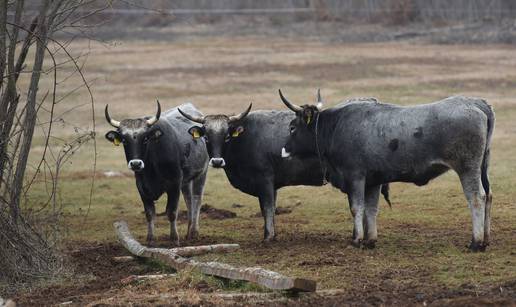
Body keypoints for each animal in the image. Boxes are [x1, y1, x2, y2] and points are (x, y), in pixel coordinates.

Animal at [280, 91, 494, 253]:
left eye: (292, 128)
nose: (284, 149)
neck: (336, 126)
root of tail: (476, 103)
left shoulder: (355, 177)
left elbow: (357, 208)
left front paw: (357, 239)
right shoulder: (373, 181)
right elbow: (371, 209)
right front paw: (370, 240)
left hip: (467, 169)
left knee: (477, 198)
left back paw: (476, 242)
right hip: (482, 168)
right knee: (489, 195)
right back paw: (485, 239)